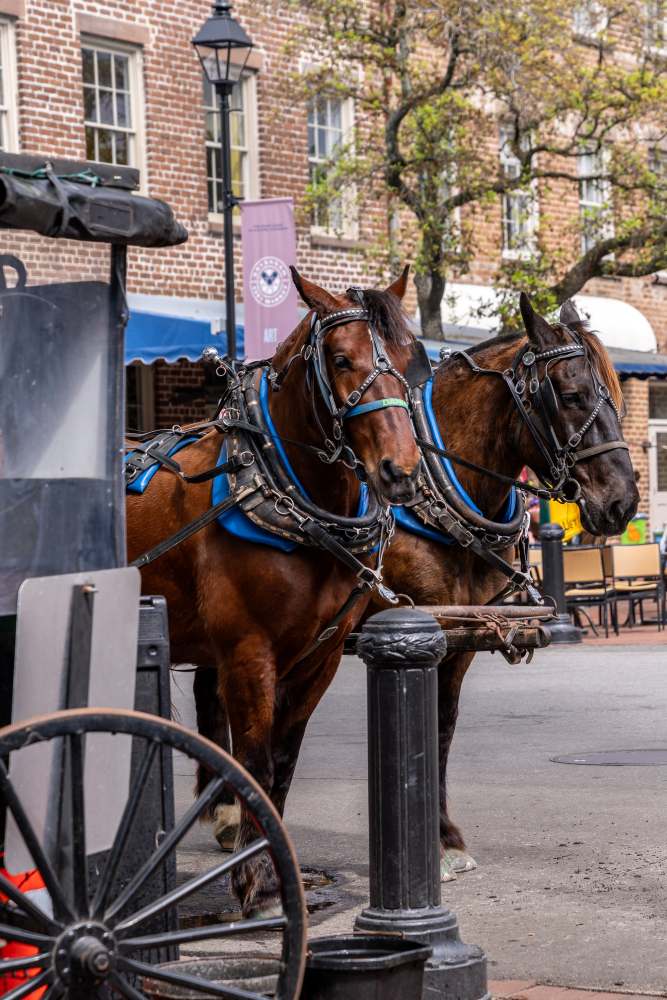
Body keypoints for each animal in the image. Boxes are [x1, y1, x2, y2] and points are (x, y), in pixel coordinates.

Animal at [127, 268, 420, 916]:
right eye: (340, 359)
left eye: (414, 360)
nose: (402, 472)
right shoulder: (246, 652)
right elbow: (255, 765)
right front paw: (256, 882)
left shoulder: (321, 657)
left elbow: (282, 767)